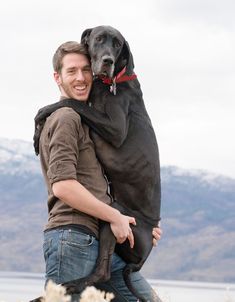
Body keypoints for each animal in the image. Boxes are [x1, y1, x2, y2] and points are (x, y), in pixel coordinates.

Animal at [32, 26, 161, 302]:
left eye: (118, 44)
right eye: (99, 39)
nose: (107, 61)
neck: (110, 84)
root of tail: (143, 258)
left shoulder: (115, 128)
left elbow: (68, 102)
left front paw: (40, 118)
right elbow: (71, 104)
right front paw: (38, 134)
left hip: (116, 214)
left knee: (101, 271)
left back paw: (65, 286)